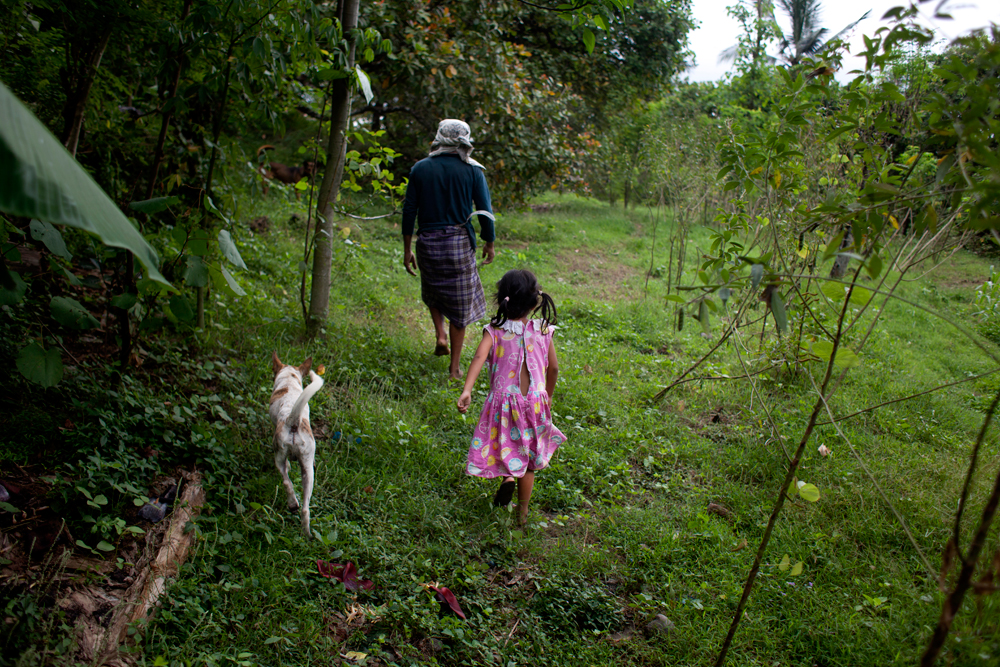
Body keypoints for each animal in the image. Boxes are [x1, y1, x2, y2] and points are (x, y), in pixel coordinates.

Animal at [270, 352, 324, 540]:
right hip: (309, 469)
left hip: (278, 456)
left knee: (286, 481)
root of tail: (293, 420)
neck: (289, 381)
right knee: (306, 509)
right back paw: (307, 535)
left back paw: (292, 504)